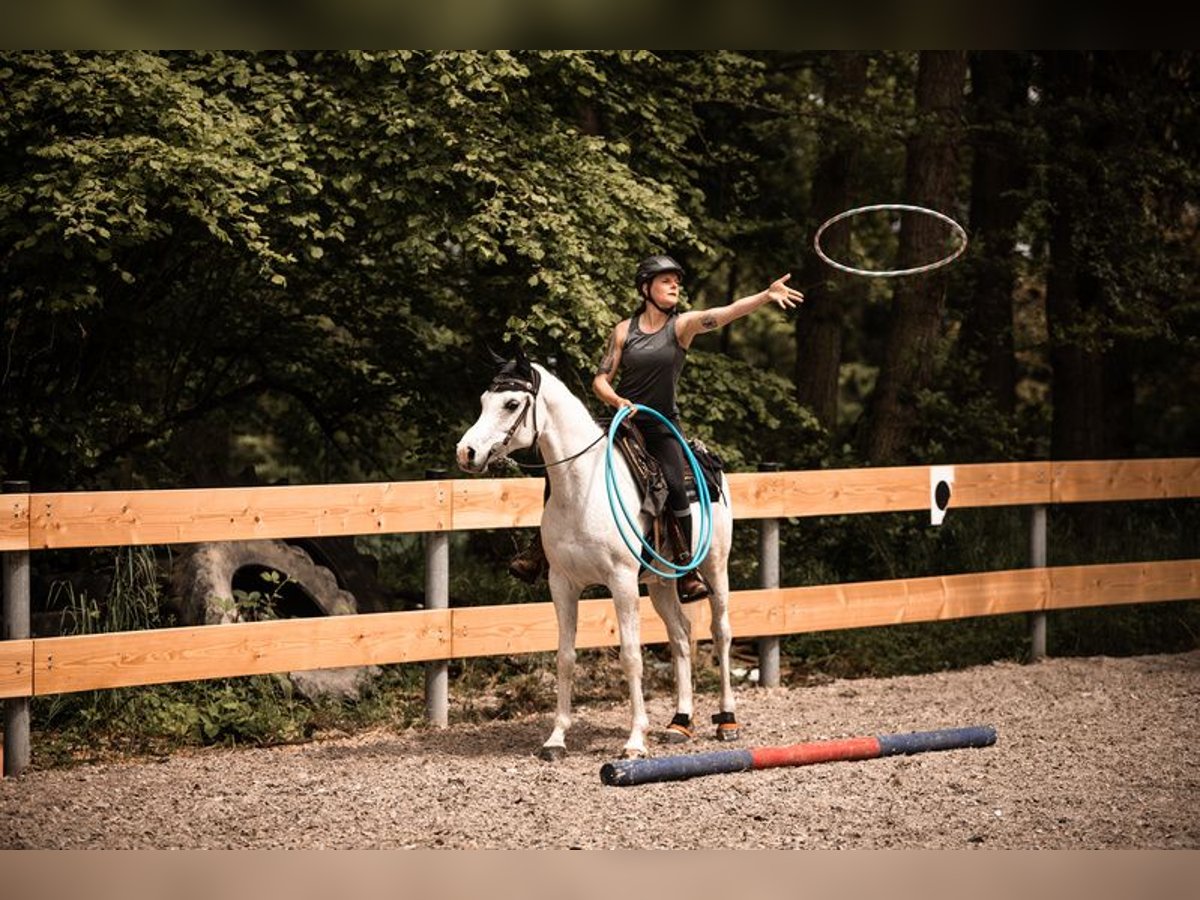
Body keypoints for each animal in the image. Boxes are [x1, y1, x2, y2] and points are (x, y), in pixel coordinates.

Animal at [458, 345, 739, 763]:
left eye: (511, 403)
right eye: (482, 401)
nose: (467, 452)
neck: (581, 487)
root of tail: (707, 460)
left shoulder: (621, 582)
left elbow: (631, 655)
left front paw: (635, 741)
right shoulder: (562, 583)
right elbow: (565, 657)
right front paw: (556, 739)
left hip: (716, 567)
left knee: (720, 633)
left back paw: (727, 721)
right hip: (660, 584)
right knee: (681, 636)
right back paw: (680, 722)